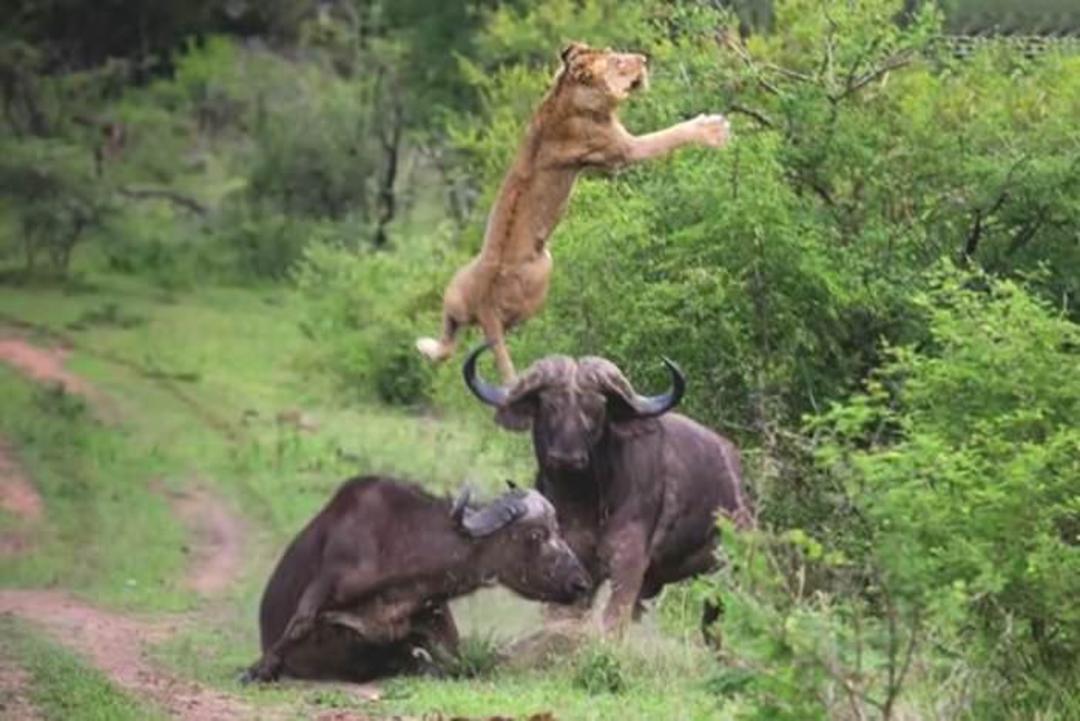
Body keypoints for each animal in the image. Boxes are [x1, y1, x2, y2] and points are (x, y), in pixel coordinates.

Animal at [416, 42, 732, 381]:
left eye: (616, 52)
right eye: (619, 62)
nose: (644, 59)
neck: (566, 93)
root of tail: (486, 309)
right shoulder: (623, 150)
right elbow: (669, 134)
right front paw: (714, 128)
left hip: (456, 290)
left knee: (449, 338)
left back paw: (426, 346)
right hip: (543, 270)